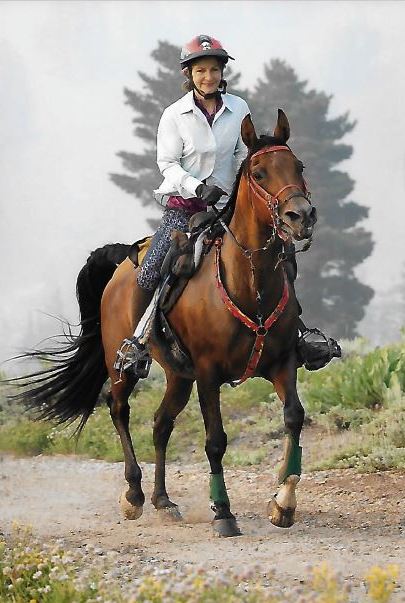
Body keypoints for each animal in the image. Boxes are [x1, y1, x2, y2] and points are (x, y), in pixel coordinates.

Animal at [7, 112, 314, 536]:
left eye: (298, 166)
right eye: (259, 172)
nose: (301, 217)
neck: (249, 283)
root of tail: (121, 259)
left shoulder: (282, 363)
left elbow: (294, 418)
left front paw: (283, 503)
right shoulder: (208, 373)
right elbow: (215, 440)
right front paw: (223, 512)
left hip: (178, 375)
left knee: (160, 423)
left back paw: (163, 499)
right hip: (123, 366)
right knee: (118, 408)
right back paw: (134, 494)